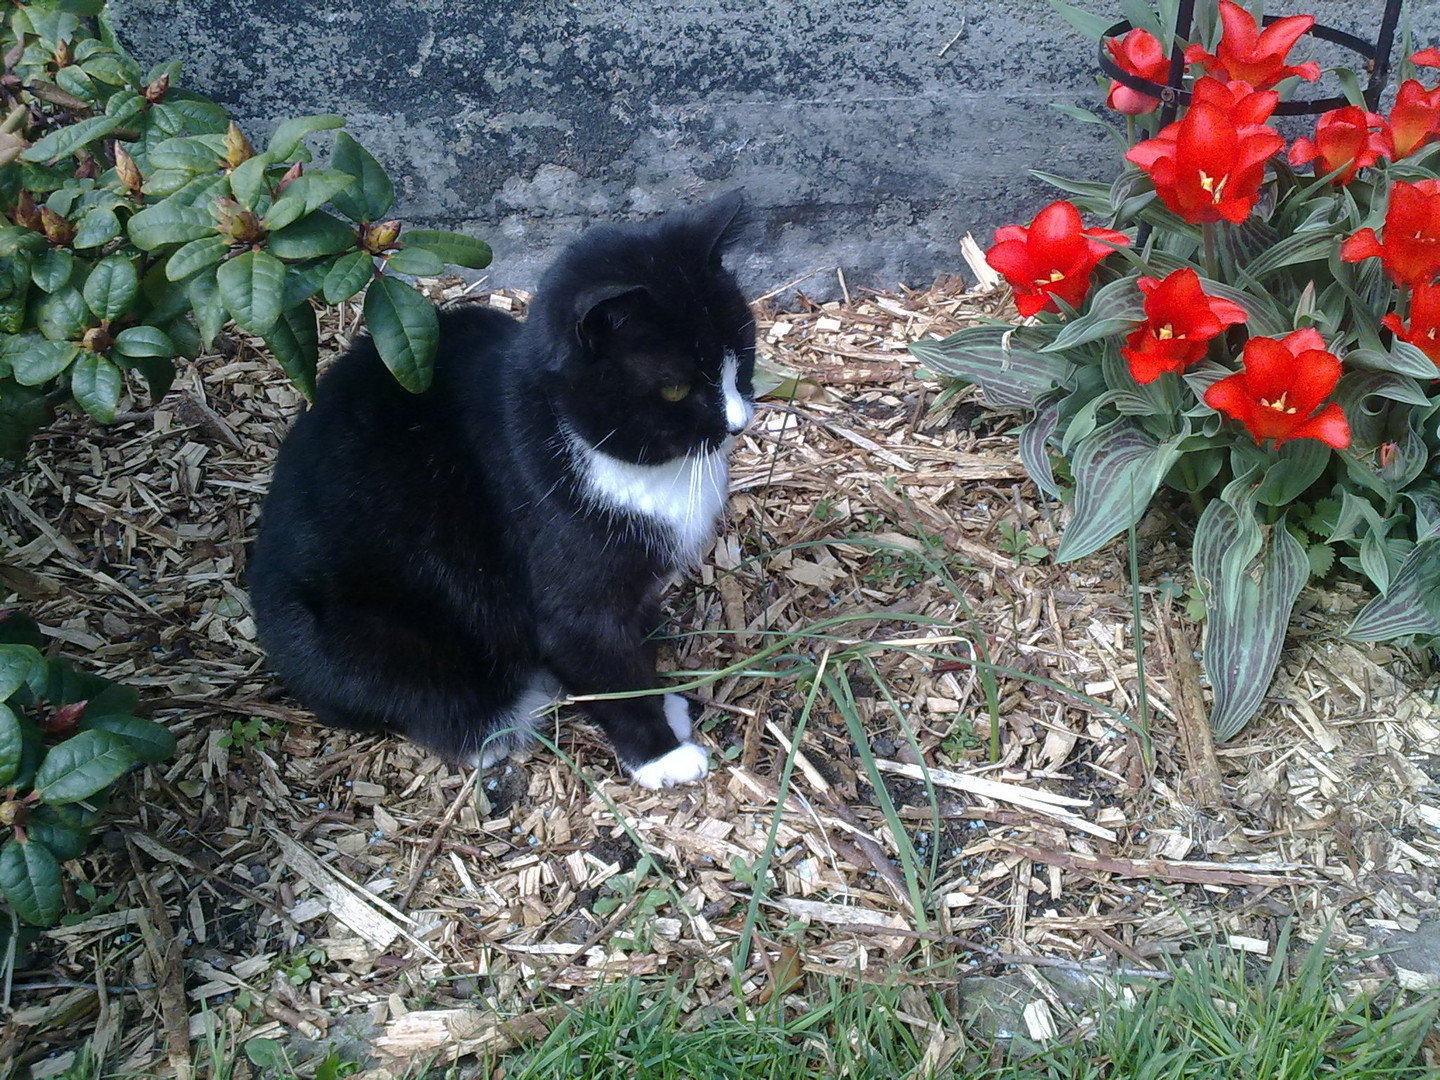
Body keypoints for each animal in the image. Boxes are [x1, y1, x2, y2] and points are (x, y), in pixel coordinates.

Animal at [249, 192, 760, 789]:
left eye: (743, 354)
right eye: (675, 389)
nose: (738, 423)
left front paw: (665, 701)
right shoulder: (570, 594)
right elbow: (599, 663)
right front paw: (662, 752)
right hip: (371, 633)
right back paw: (495, 724)